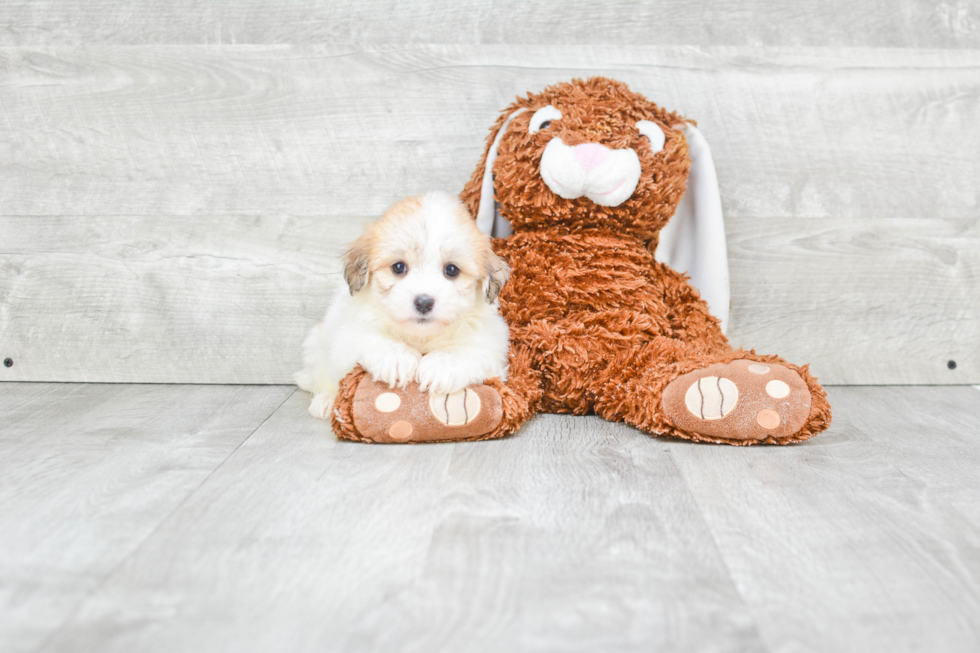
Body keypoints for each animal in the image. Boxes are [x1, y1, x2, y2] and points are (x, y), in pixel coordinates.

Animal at [294, 191, 512, 420]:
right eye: (399, 267)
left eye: (451, 270)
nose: (424, 302)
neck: (421, 337)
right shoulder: (347, 335)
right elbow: (369, 337)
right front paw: (396, 358)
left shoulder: (492, 341)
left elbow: (472, 349)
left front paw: (442, 365)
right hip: (316, 345)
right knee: (324, 377)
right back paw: (326, 400)